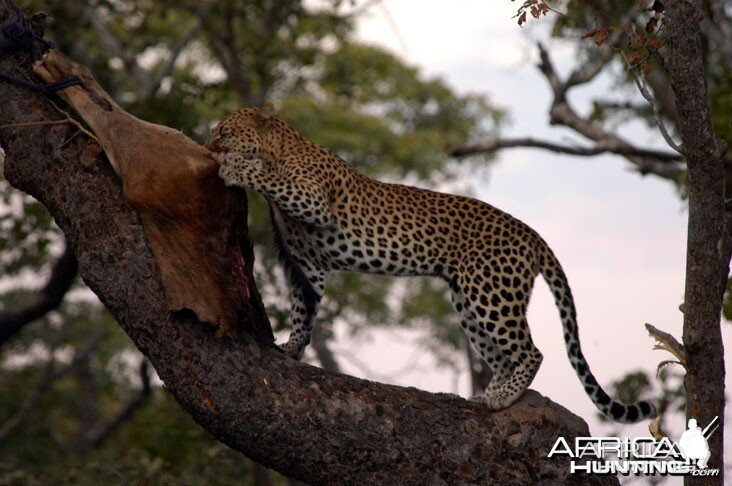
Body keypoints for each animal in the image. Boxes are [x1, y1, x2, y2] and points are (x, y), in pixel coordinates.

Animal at [206, 104, 656, 424]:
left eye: (223, 131)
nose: (209, 146)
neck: (281, 147)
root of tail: (531, 232)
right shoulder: (305, 263)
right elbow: (304, 308)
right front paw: (292, 348)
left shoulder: (313, 199)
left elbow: (272, 179)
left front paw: (234, 168)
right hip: (469, 302)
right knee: (503, 356)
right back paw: (489, 393)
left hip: (491, 294)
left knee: (532, 352)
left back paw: (503, 396)